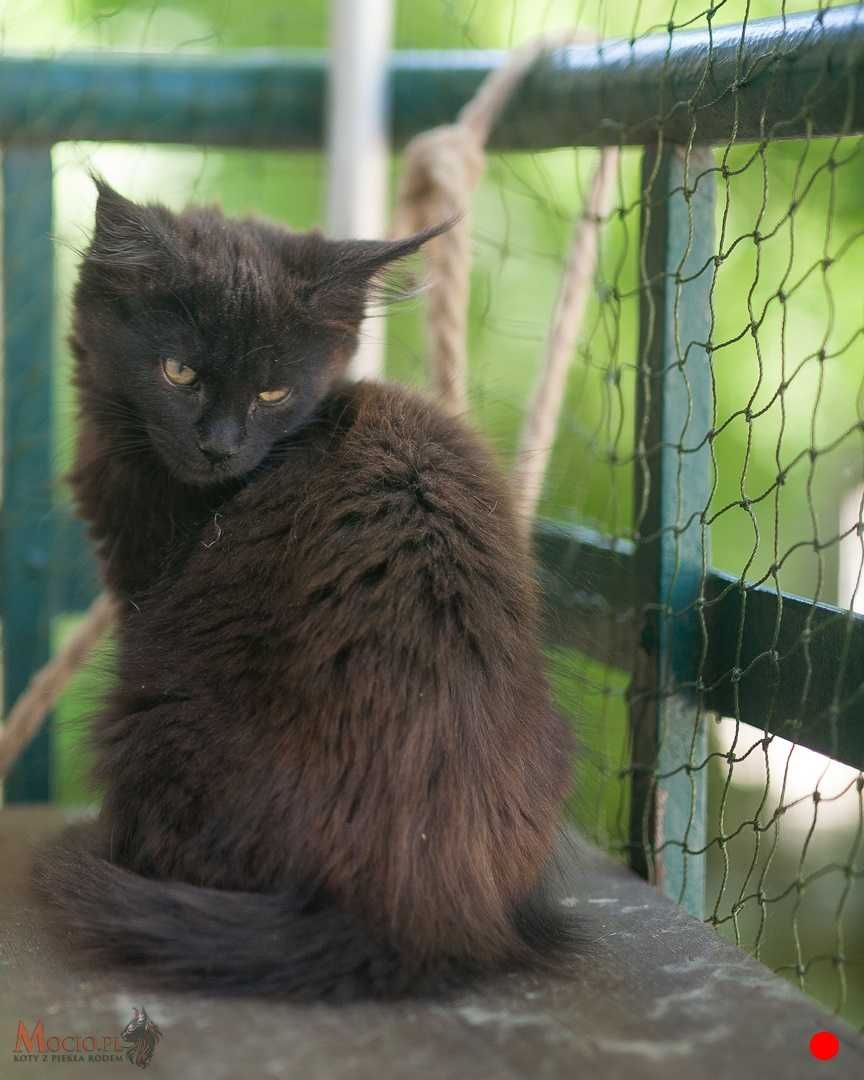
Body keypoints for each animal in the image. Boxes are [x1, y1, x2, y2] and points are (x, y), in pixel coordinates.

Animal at [33, 181, 578, 997]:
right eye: (179, 373)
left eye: (273, 391)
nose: (219, 446)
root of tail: (405, 908)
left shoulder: (143, 586)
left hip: (149, 710)